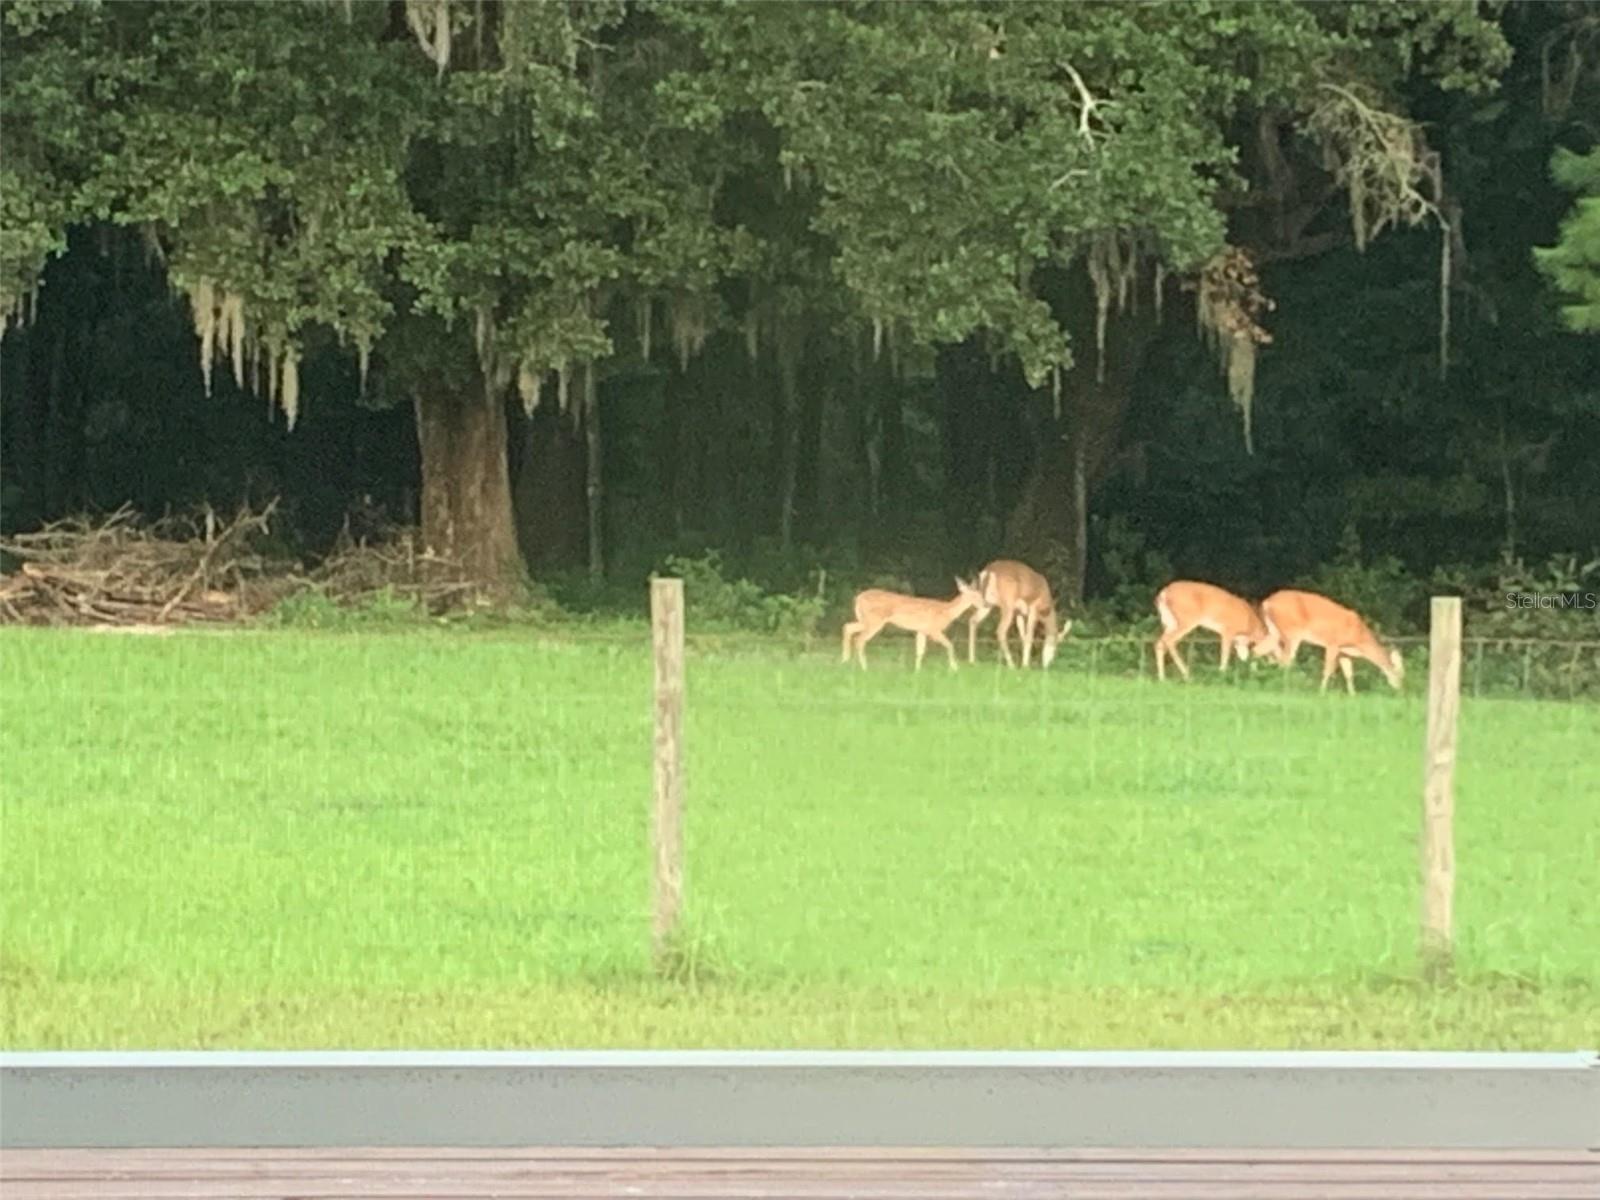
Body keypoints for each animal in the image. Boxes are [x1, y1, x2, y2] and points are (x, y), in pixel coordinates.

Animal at [841, 578, 986, 671]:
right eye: (976, 596)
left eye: (981, 594)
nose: (986, 604)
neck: (946, 611)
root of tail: (858, 598)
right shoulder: (933, 630)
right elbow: (950, 645)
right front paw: (955, 668)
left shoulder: (921, 630)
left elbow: (920, 651)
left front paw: (917, 672)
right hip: (874, 620)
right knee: (859, 639)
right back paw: (864, 668)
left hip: (865, 620)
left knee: (848, 627)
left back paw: (845, 660)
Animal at [1259, 588, 1405, 693]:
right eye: (1400, 673)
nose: (1402, 690)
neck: (1359, 640)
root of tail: (1267, 602)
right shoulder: (1333, 643)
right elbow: (1328, 669)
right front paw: (1321, 692)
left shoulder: (1344, 652)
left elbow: (1349, 674)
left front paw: (1353, 695)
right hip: (1291, 632)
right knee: (1285, 660)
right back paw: (1287, 687)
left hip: (1274, 632)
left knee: (1261, 650)